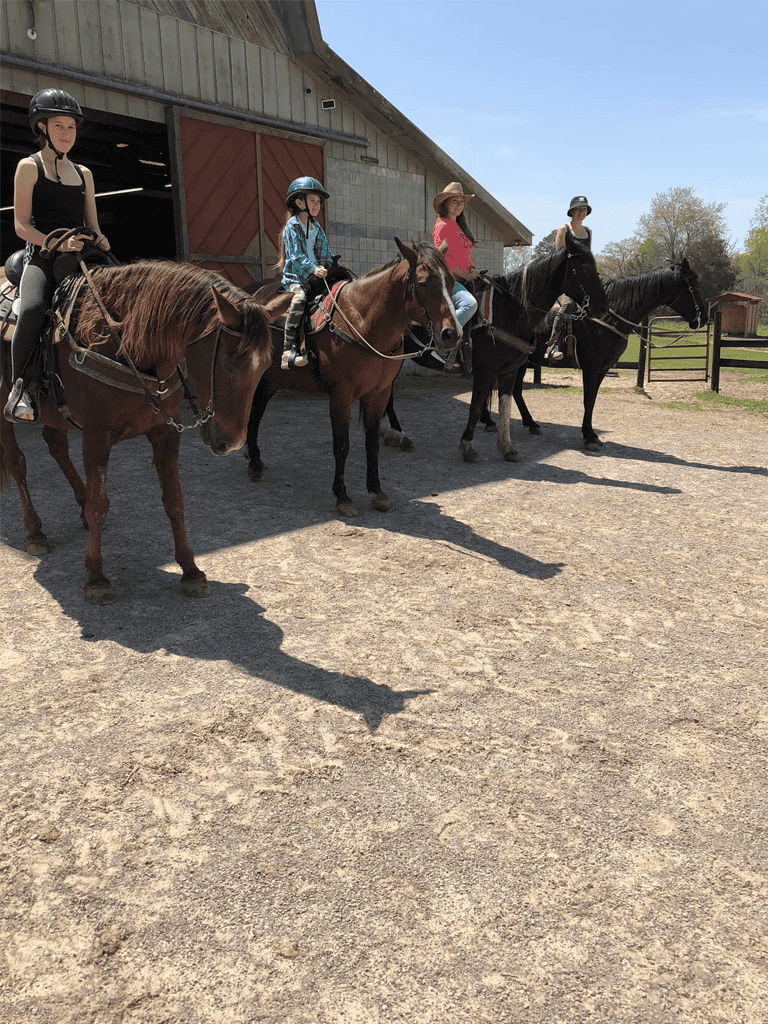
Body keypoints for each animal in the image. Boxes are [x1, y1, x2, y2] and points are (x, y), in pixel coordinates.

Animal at [1, 258, 273, 602]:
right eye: (228, 362)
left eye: (265, 366)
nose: (233, 443)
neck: (125, 341)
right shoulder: (96, 437)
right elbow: (100, 504)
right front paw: (96, 576)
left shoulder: (165, 432)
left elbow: (174, 499)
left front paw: (191, 570)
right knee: (17, 463)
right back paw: (34, 531)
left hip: (55, 413)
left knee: (55, 445)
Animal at [244, 238, 460, 516]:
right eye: (422, 283)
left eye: (451, 282)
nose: (452, 334)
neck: (362, 321)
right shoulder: (341, 395)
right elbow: (342, 445)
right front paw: (342, 496)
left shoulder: (379, 394)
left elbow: (372, 443)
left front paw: (377, 492)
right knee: (253, 412)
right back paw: (253, 462)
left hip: (272, 379)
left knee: (258, 410)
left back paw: (254, 458)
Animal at [511, 258, 707, 450]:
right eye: (693, 286)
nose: (704, 318)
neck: (607, 319)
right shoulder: (591, 368)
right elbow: (588, 400)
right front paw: (588, 438)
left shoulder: (603, 369)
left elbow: (592, 400)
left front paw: (592, 434)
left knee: (516, 391)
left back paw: (532, 424)